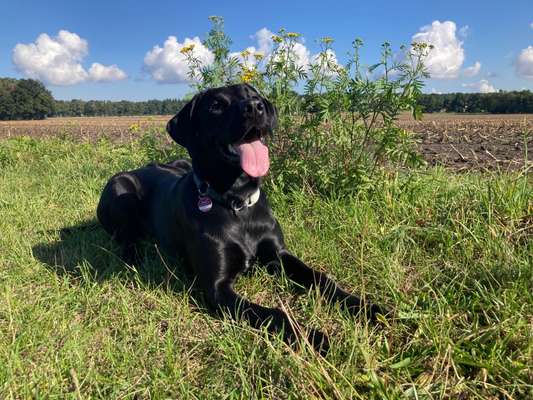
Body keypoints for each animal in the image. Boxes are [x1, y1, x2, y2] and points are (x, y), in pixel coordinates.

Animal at [96, 83, 382, 354]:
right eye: (216, 106)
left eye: (252, 94)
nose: (255, 107)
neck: (237, 204)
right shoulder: (217, 288)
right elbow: (275, 314)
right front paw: (314, 337)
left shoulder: (278, 254)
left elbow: (322, 279)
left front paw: (370, 309)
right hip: (121, 190)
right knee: (126, 237)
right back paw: (133, 258)